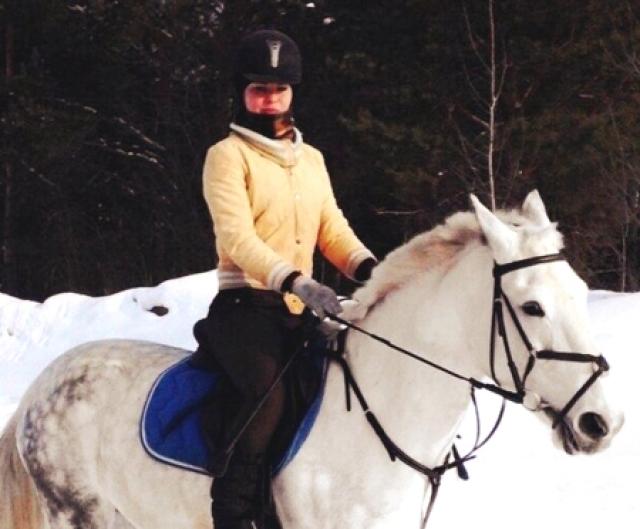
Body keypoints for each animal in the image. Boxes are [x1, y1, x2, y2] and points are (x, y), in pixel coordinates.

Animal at [0, 191, 624, 529]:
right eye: (533, 306)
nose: (603, 423)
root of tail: (39, 388)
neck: (380, 424)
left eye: (577, 290)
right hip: (77, 513)